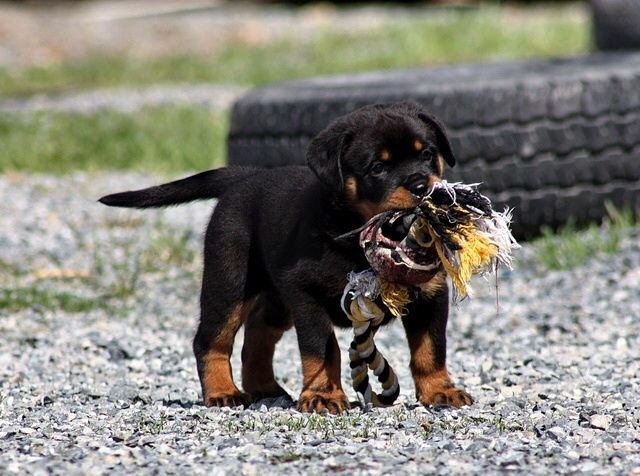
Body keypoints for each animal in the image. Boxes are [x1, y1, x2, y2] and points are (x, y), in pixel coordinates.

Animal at [97, 100, 472, 412]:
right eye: (378, 168)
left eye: (428, 154)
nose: (423, 186)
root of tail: (246, 176)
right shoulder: (306, 293)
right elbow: (322, 347)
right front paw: (323, 395)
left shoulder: (431, 295)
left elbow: (430, 349)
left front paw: (440, 391)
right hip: (229, 281)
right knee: (211, 338)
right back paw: (222, 392)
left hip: (276, 297)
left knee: (257, 333)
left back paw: (264, 388)